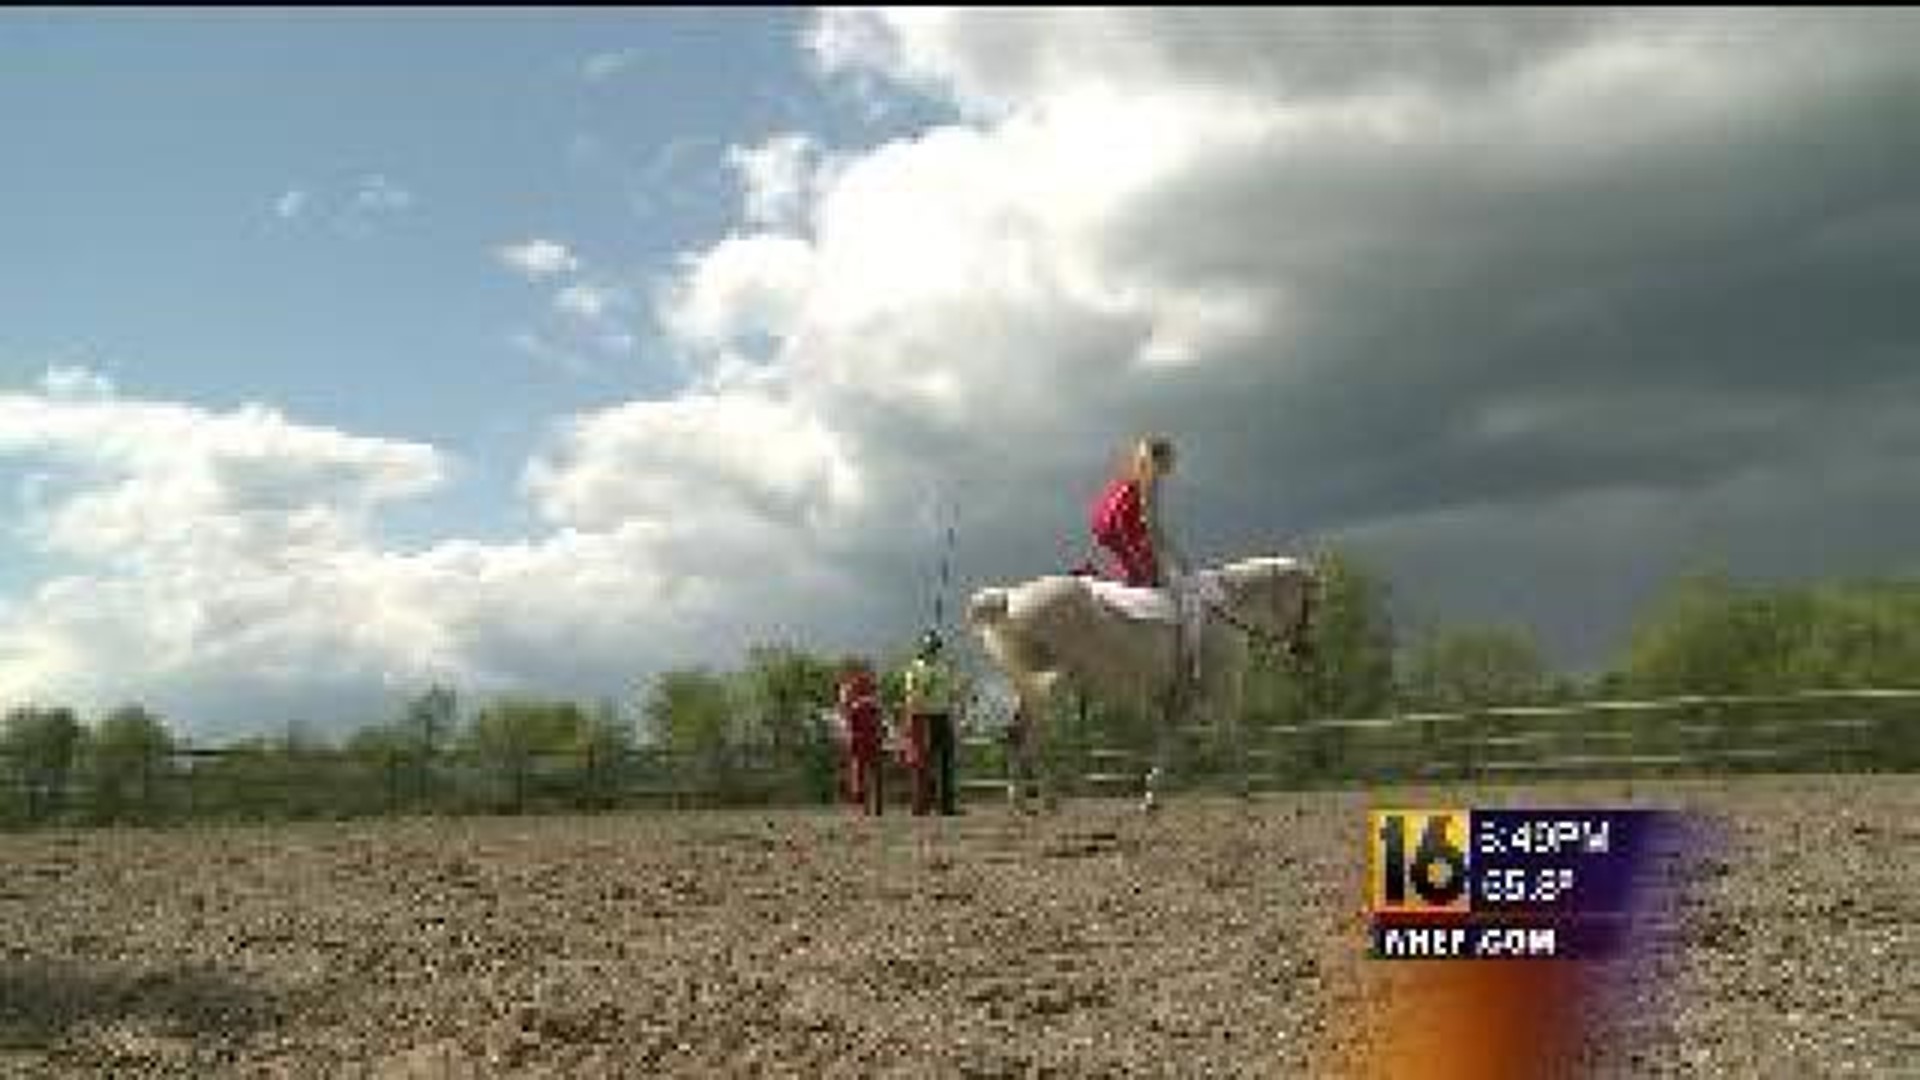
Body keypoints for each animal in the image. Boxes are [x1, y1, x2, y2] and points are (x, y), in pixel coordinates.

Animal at [960, 553, 1320, 807]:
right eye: (1310, 602)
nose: (1304, 649)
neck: (1226, 606)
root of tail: (1009, 597)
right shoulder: (1224, 686)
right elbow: (1228, 735)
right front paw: (1244, 790)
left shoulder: (1180, 699)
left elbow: (1170, 740)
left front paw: (1152, 795)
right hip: (1052, 683)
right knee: (1029, 734)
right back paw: (1045, 797)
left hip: (1028, 685)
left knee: (1016, 732)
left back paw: (1024, 799)